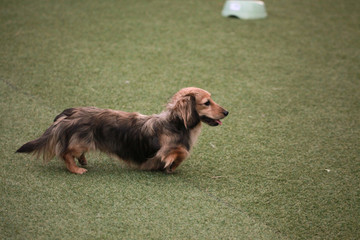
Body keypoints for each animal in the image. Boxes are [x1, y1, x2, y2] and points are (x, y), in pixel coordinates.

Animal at [16, 87, 228, 173]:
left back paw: (82, 161)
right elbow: (180, 153)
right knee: (65, 154)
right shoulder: (167, 150)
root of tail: (68, 115)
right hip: (79, 142)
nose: (227, 112)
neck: (175, 124)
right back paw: (76, 169)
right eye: (207, 103)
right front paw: (171, 164)